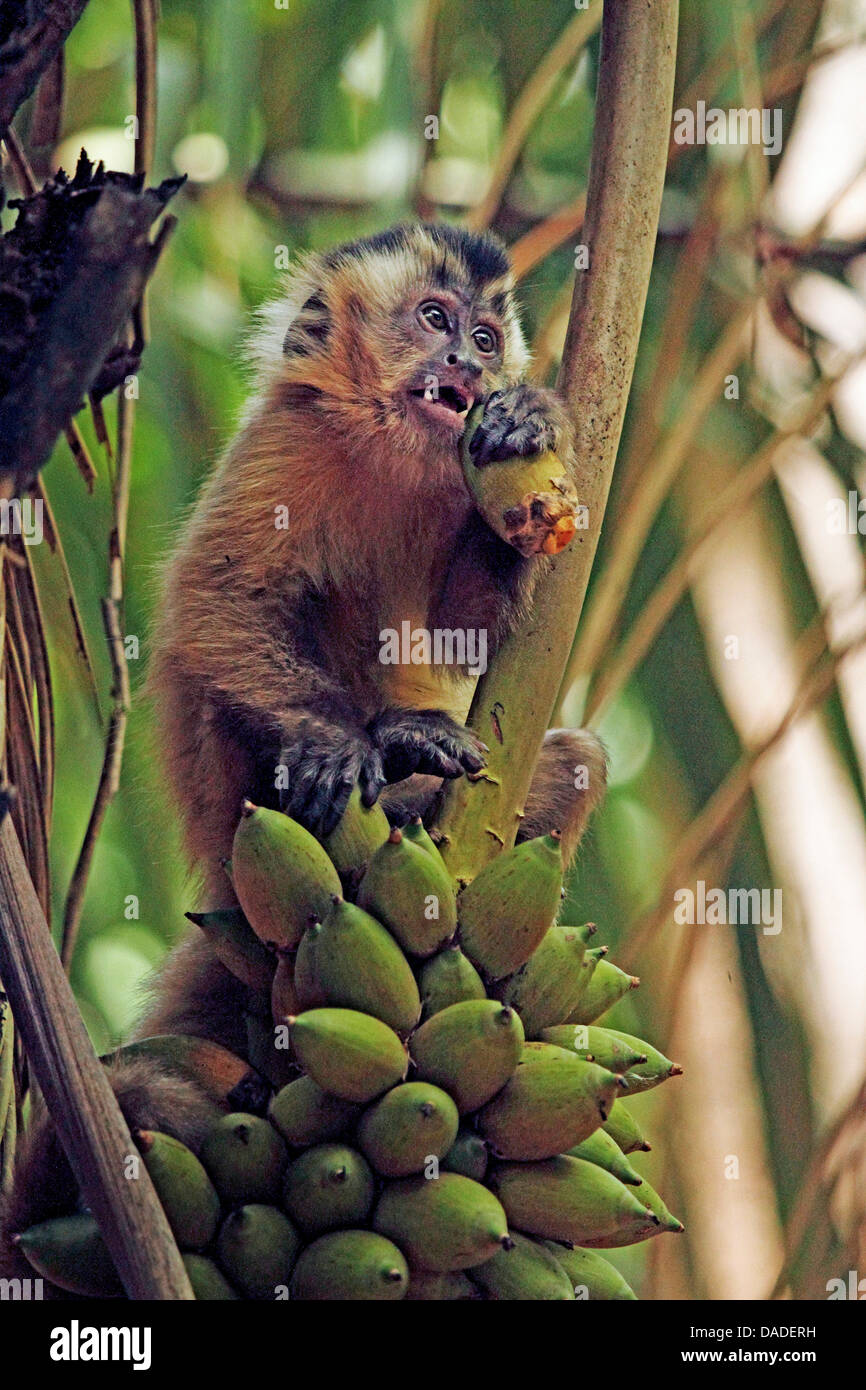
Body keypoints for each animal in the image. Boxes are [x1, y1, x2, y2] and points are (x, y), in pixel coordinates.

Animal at [0, 219, 606, 1278]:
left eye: (487, 339)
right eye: (435, 318)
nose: (466, 364)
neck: (385, 452)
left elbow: (469, 642)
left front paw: (529, 419)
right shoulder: (281, 444)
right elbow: (215, 605)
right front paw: (332, 743)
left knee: (568, 762)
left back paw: (412, 777)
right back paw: (377, 766)